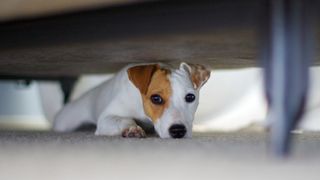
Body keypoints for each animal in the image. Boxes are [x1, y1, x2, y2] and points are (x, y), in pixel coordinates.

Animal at [53, 62, 211, 139]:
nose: (178, 131)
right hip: (65, 123)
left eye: (190, 97)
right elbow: (124, 119)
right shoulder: (106, 118)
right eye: (156, 98)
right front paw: (132, 128)